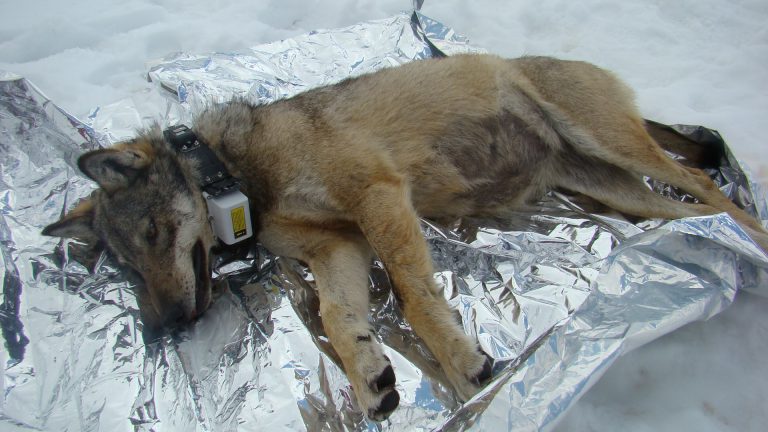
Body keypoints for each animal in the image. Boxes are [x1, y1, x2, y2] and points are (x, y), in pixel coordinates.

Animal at [42, 53, 768, 418]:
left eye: (157, 232)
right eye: (130, 267)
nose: (163, 328)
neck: (236, 173)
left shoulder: (379, 198)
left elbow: (415, 296)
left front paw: (461, 363)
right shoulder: (339, 247)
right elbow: (340, 320)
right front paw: (369, 376)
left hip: (615, 145)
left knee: (707, 188)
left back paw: (754, 238)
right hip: (615, 187)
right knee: (690, 207)